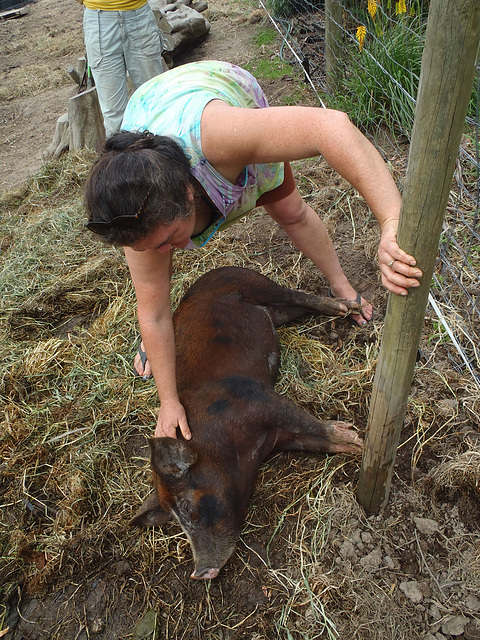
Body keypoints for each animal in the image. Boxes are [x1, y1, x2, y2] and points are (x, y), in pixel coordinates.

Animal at [130, 264, 364, 580]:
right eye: (175, 521)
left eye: (188, 506)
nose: (199, 573)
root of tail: (210, 273)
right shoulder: (278, 437)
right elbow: (314, 442)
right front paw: (351, 445)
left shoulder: (260, 400)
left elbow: (309, 423)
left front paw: (358, 440)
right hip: (276, 312)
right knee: (294, 307)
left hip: (254, 283)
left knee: (297, 294)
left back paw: (348, 307)